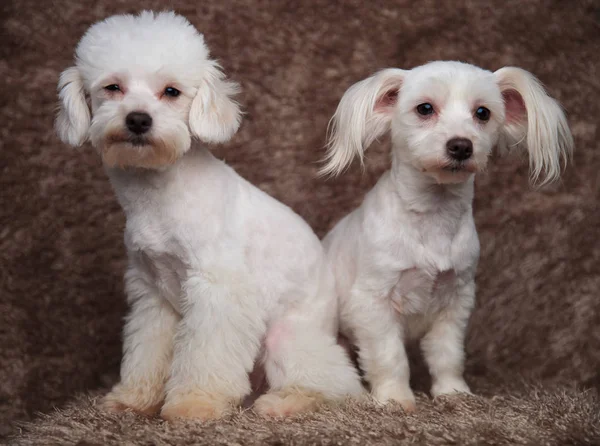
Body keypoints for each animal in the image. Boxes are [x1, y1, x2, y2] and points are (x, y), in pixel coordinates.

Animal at [56, 11, 364, 422]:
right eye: (112, 87)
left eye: (171, 92)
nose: (138, 119)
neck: (160, 192)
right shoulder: (153, 295)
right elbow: (145, 352)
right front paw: (134, 398)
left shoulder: (217, 289)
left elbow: (206, 354)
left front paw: (194, 403)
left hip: (286, 337)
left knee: (337, 385)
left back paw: (287, 401)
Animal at [322, 61, 576, 412]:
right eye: (425, 108)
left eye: (482, 113)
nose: (461, 145)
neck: (433, 218)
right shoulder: (373, 302)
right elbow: (389, 356)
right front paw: (395, 398)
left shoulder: (455, 300)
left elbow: (447, 354)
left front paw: (453, 392)